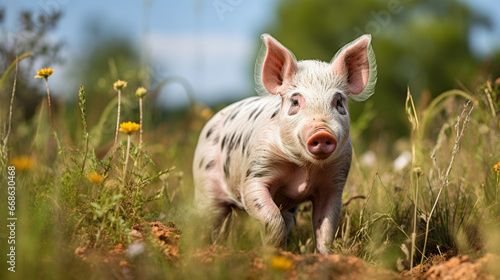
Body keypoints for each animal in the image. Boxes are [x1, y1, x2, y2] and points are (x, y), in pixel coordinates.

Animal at [193, 32, 376, 254]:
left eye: (339, 101)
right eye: (295, 102)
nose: (322, 132)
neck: (305, 168)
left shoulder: (335, 180)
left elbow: (326, 228)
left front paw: (323, 256)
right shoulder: (255, 172)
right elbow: (270, 216)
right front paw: (274, 252)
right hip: (204, 183)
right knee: (210, 219)